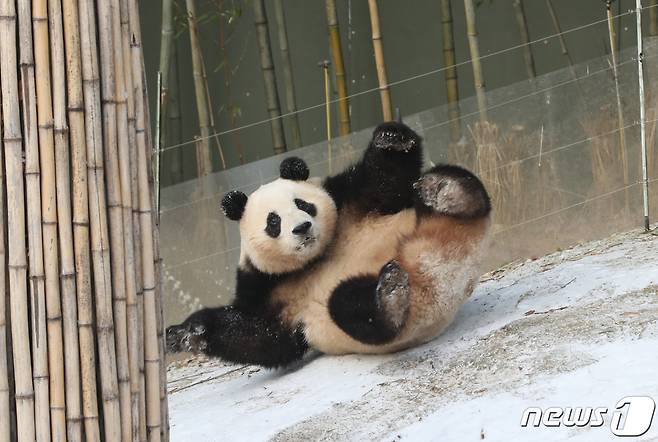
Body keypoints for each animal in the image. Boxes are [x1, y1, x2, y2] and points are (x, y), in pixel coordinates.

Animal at [167, 121, 490, 366]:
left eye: (303, 204)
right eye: (273, 222)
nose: (302, 228)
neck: (314, 258)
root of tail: (439, 266)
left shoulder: (347, 201)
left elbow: (384, 184)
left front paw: (391, 139)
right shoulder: (264, 285)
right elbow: (259, 336)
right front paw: (185, 333)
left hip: (432, 216)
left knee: (460, 184)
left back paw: (443, 190)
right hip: (392, 309)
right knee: (351, 308)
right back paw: (390, 296)